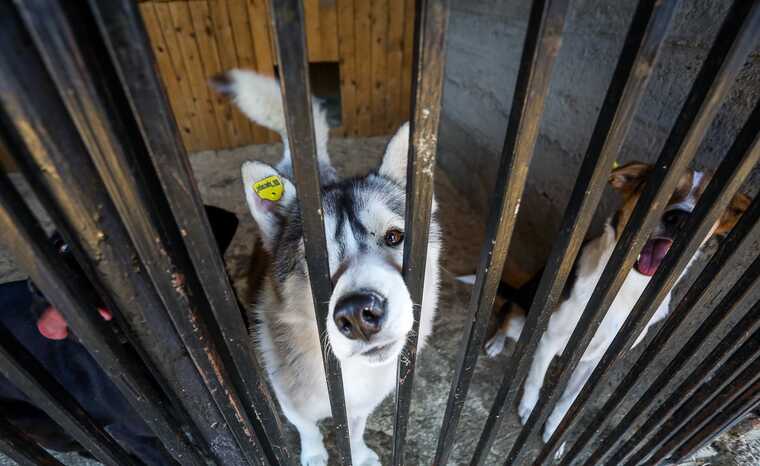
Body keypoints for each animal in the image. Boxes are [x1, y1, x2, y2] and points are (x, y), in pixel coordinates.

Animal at [212, 70, 440, 466]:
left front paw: (359, 453)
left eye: (395, 237)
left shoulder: (362, 404)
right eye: (313, 260)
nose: (358, 314)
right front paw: (315, 453)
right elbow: (307, 427)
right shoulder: (288, 398)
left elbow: (357, 427)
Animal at [480, 162, 748, 442]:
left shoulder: (596, 362)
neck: (625, 290)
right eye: (663, 187)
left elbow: (567, 402)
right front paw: (528, 409)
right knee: (506, 321)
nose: (680, 219)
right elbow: (535, 379)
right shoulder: (550, 338)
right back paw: (496, 343)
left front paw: (554, 431)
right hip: (521, 319)